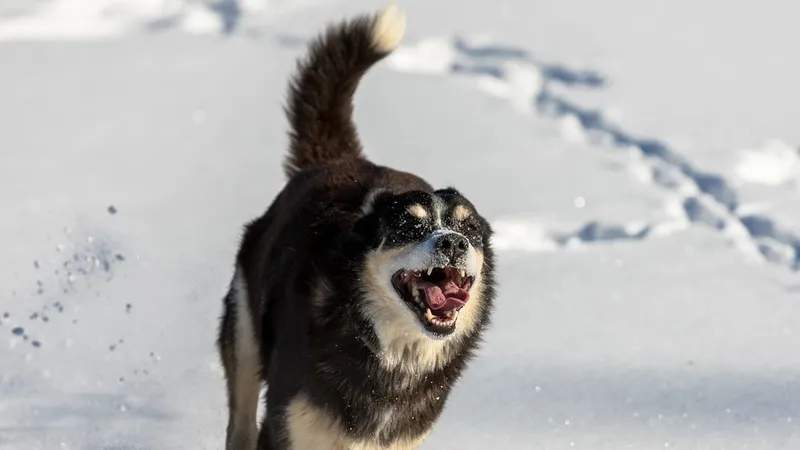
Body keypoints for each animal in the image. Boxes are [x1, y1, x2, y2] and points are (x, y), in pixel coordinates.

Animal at [216, 4, 496, 450]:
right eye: (408, 226)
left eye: (469, 231)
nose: (453, 244)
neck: (391, 354)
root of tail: (336, 161)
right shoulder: (286, 427)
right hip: (244, 331)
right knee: (239, 417)